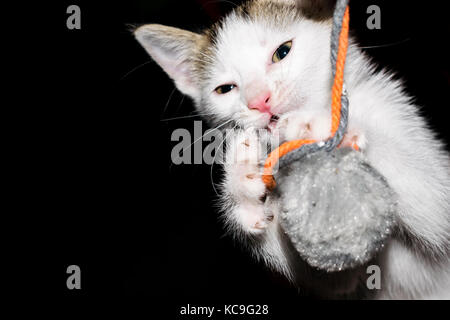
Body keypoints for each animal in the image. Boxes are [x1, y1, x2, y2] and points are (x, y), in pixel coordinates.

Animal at [134, 0, 450, 300]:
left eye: (282, 52)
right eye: (225, 89)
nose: (259, 101)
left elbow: (433, 202)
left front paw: (320, 126)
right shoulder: (341, 277)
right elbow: (337, 277)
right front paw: (241, 182)